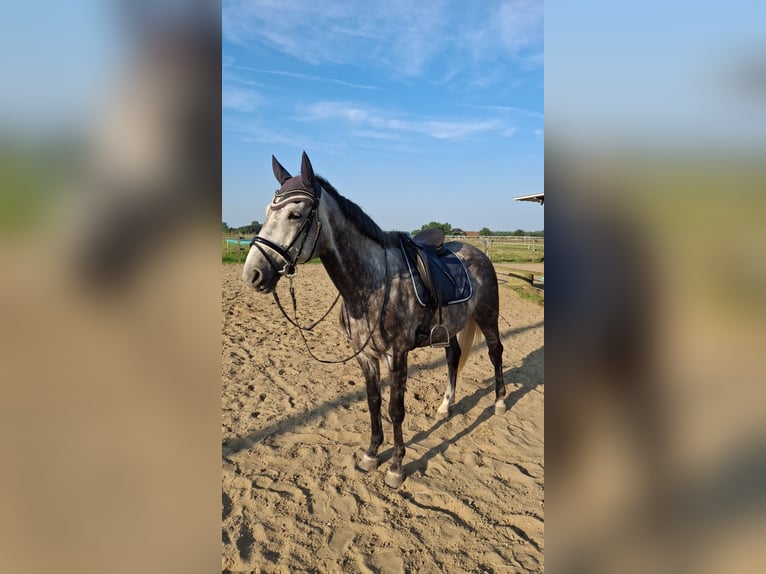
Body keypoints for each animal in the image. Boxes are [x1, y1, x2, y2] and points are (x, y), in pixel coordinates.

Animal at [243, 153, 508, 490]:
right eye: (267, 212)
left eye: (295, 214)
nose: (253, 274)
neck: (373, 284)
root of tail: (479, 253)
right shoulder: (366, 356)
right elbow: (373, 402)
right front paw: (371, 454)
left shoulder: (396, 355)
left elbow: (395, 409)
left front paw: (395, 466)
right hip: (449, 329)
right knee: (453, 358)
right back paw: (445, 406)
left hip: (487, 316)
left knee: (495, 353)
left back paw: (499, 402)